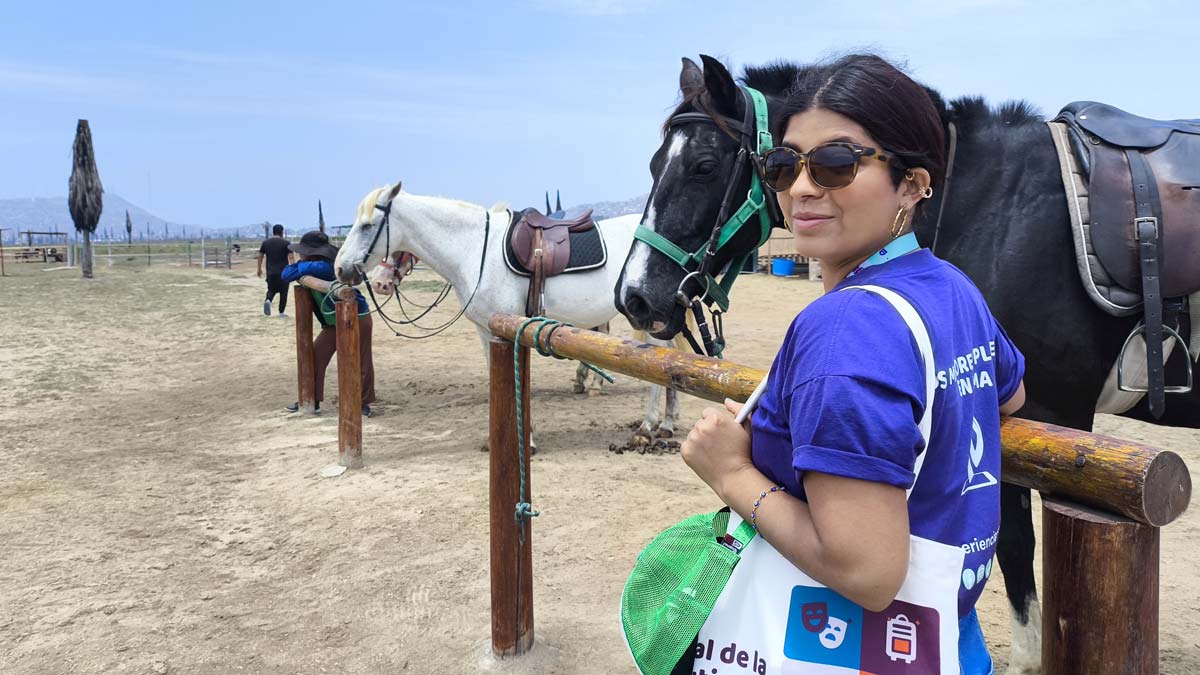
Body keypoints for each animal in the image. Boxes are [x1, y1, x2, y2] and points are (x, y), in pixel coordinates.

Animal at [336, 181, 686, 439]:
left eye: (367, 226)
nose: (341, 269)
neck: (475, 249)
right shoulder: (488, 331)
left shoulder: (511, 327)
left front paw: (526, 438)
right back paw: (667, 424)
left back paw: (648, 425)